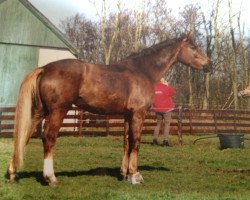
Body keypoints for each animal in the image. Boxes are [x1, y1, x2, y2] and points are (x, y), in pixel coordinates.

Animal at [7, 32, 211, 184]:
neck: (141, 71)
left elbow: (127, 142)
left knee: (24, 135)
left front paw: (124, 174)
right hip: (58, 111)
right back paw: (51, 178)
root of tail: (44, 68)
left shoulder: (128, 115)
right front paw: (135, 175)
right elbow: (136, 142)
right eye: (193, 47)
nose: (209, 64)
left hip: (39, 112)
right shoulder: (138, 114)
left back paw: (12, 173)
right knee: (48, 138)